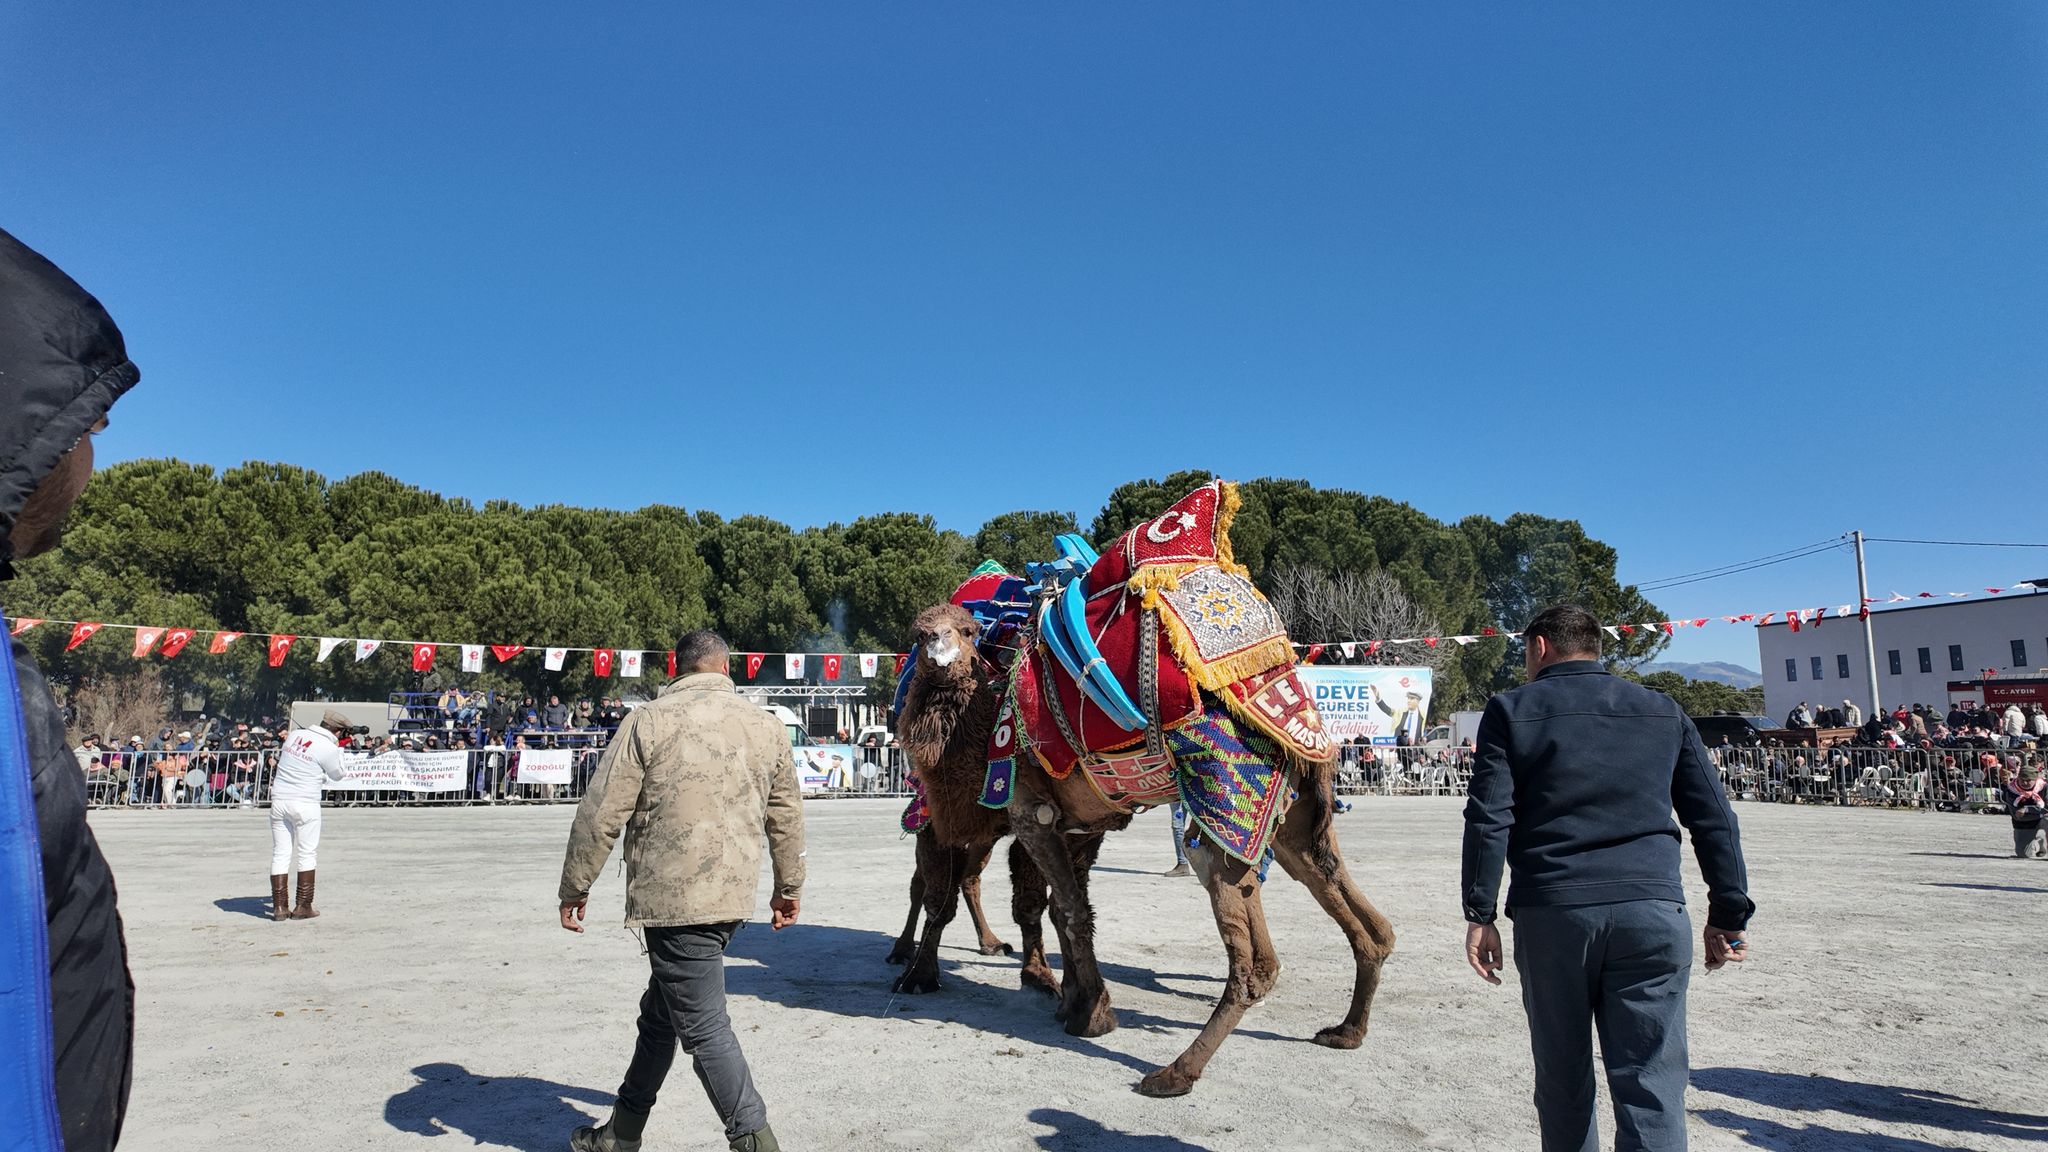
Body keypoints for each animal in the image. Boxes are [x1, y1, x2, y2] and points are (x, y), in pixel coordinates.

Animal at [905, 477, 1400, 1090]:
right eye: (917, 633)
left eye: (969, 631)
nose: (937, 649)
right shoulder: (1080, 822)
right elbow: (1063, 908)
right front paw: (1072, 1001)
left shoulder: (1029, 814)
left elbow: (1065, 908)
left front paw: (1091, 1013)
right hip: (1294, 819)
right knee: (1369, 925)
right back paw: (1347, 1030)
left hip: (1225, 809)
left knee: (1257, 961)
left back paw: (1174, 1072)